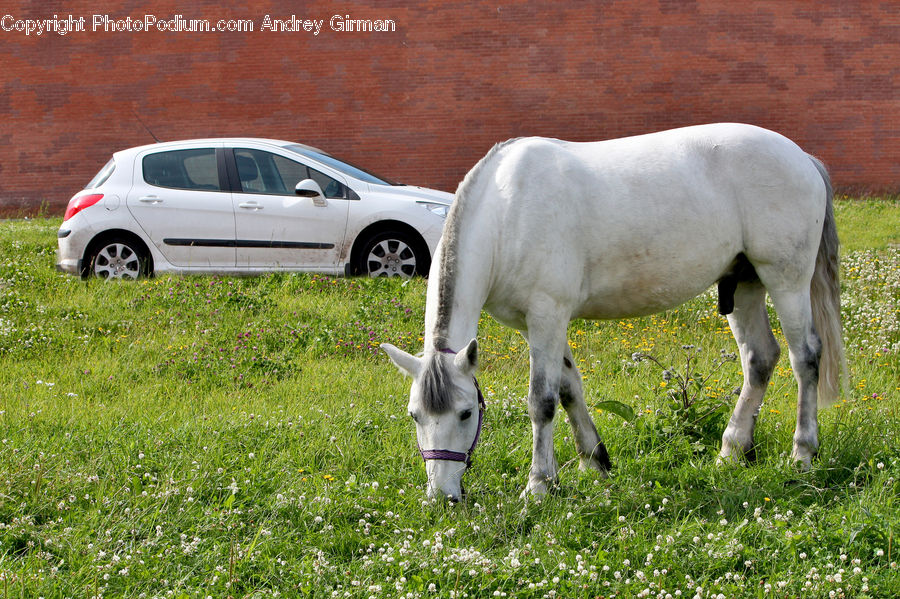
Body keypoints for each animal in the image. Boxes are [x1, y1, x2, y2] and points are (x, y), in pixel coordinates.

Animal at [382, 123, 844, 501]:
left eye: (466, 412)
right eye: (414, 415)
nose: (442, 496)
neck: (507, 210)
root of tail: (801, 157)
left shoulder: (547, 315)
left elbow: (542, 401)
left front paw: (538, 485)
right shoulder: (536, 325)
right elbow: (569, 388)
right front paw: (595, 462)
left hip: (785, 280)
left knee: (805, 358)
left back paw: (802, 455)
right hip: (746, 284)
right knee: (759, 359)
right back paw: (732, 450)